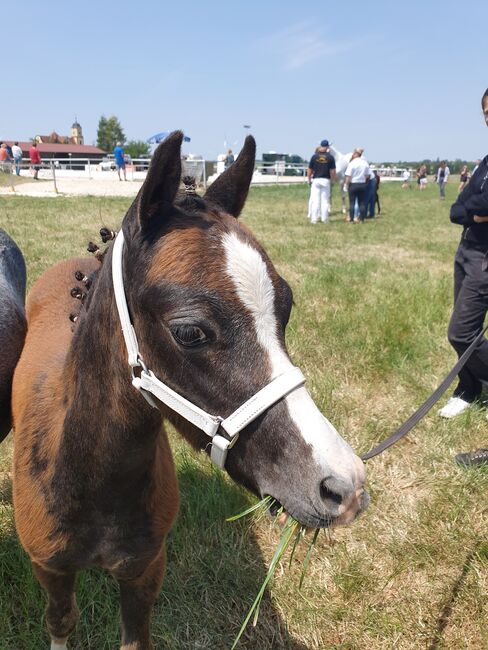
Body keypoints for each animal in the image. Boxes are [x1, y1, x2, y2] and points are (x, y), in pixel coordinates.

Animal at [11, 129, 368, 644]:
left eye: (286, 308)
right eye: (190, 331)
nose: (343, 487)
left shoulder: (145, 568)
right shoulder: (49, 568)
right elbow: (61, 621)